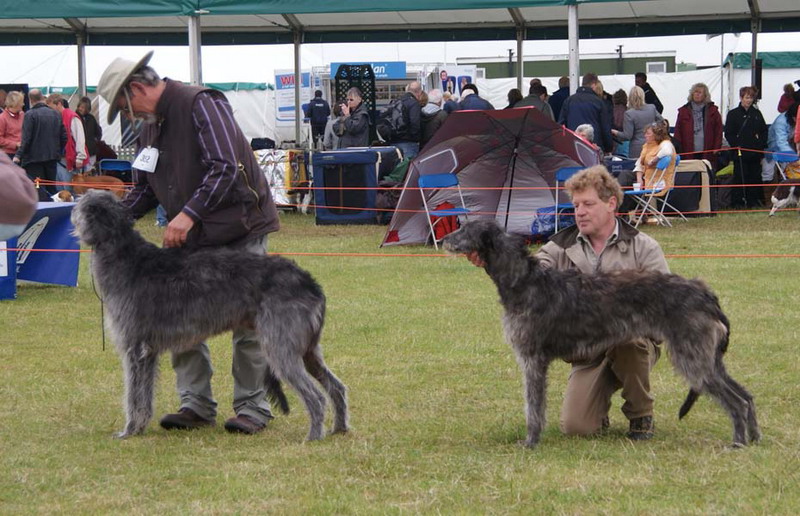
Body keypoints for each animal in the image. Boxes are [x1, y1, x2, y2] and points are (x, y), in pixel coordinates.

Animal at [73, 191, 348, 442]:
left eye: (82, 201)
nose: (71, 201)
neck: (125, 255)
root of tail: (310, 283)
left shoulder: (134, 347)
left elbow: (133, 394)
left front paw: (128, 431)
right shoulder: (148, 352)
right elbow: (145, 395)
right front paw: (139, 427)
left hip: (281, 345)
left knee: (316, 396)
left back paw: (313, 436)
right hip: (308, 349)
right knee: (337, 387)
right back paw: (339, 428)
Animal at [444, 220, 764, 450]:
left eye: (465, 228)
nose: (445, 238)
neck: (524, 281)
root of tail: (706, 294)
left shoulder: (532, 358)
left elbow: (533, 406)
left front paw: (530, 441)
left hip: (693, 357)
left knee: (735, 401)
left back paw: (737, 442)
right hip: (708, 357)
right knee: (746, 396)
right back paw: (755, 437)